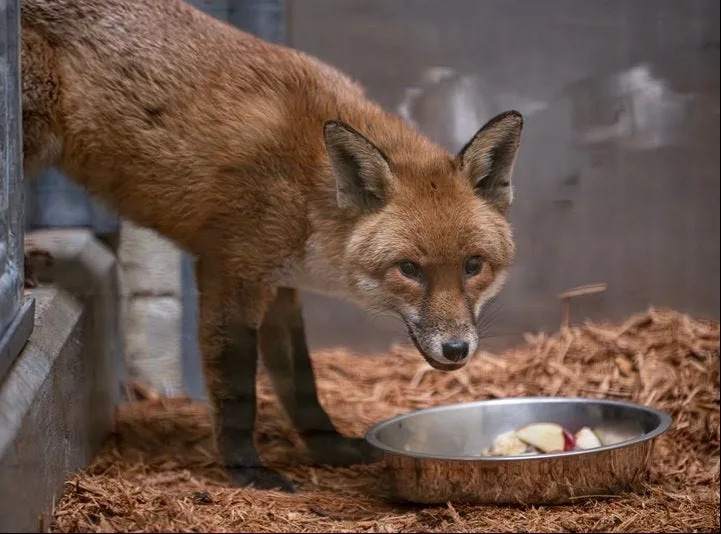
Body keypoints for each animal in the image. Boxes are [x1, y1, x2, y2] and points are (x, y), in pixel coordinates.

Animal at [20, 0, 523, 491]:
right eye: (410, 269)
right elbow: (238, 389)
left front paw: (329, 448)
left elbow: (301, 383)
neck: (307, 193)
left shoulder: (282, 287)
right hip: (34, 130)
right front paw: (247, 470)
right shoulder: (230, 271)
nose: (457, 349)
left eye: (473, 265)